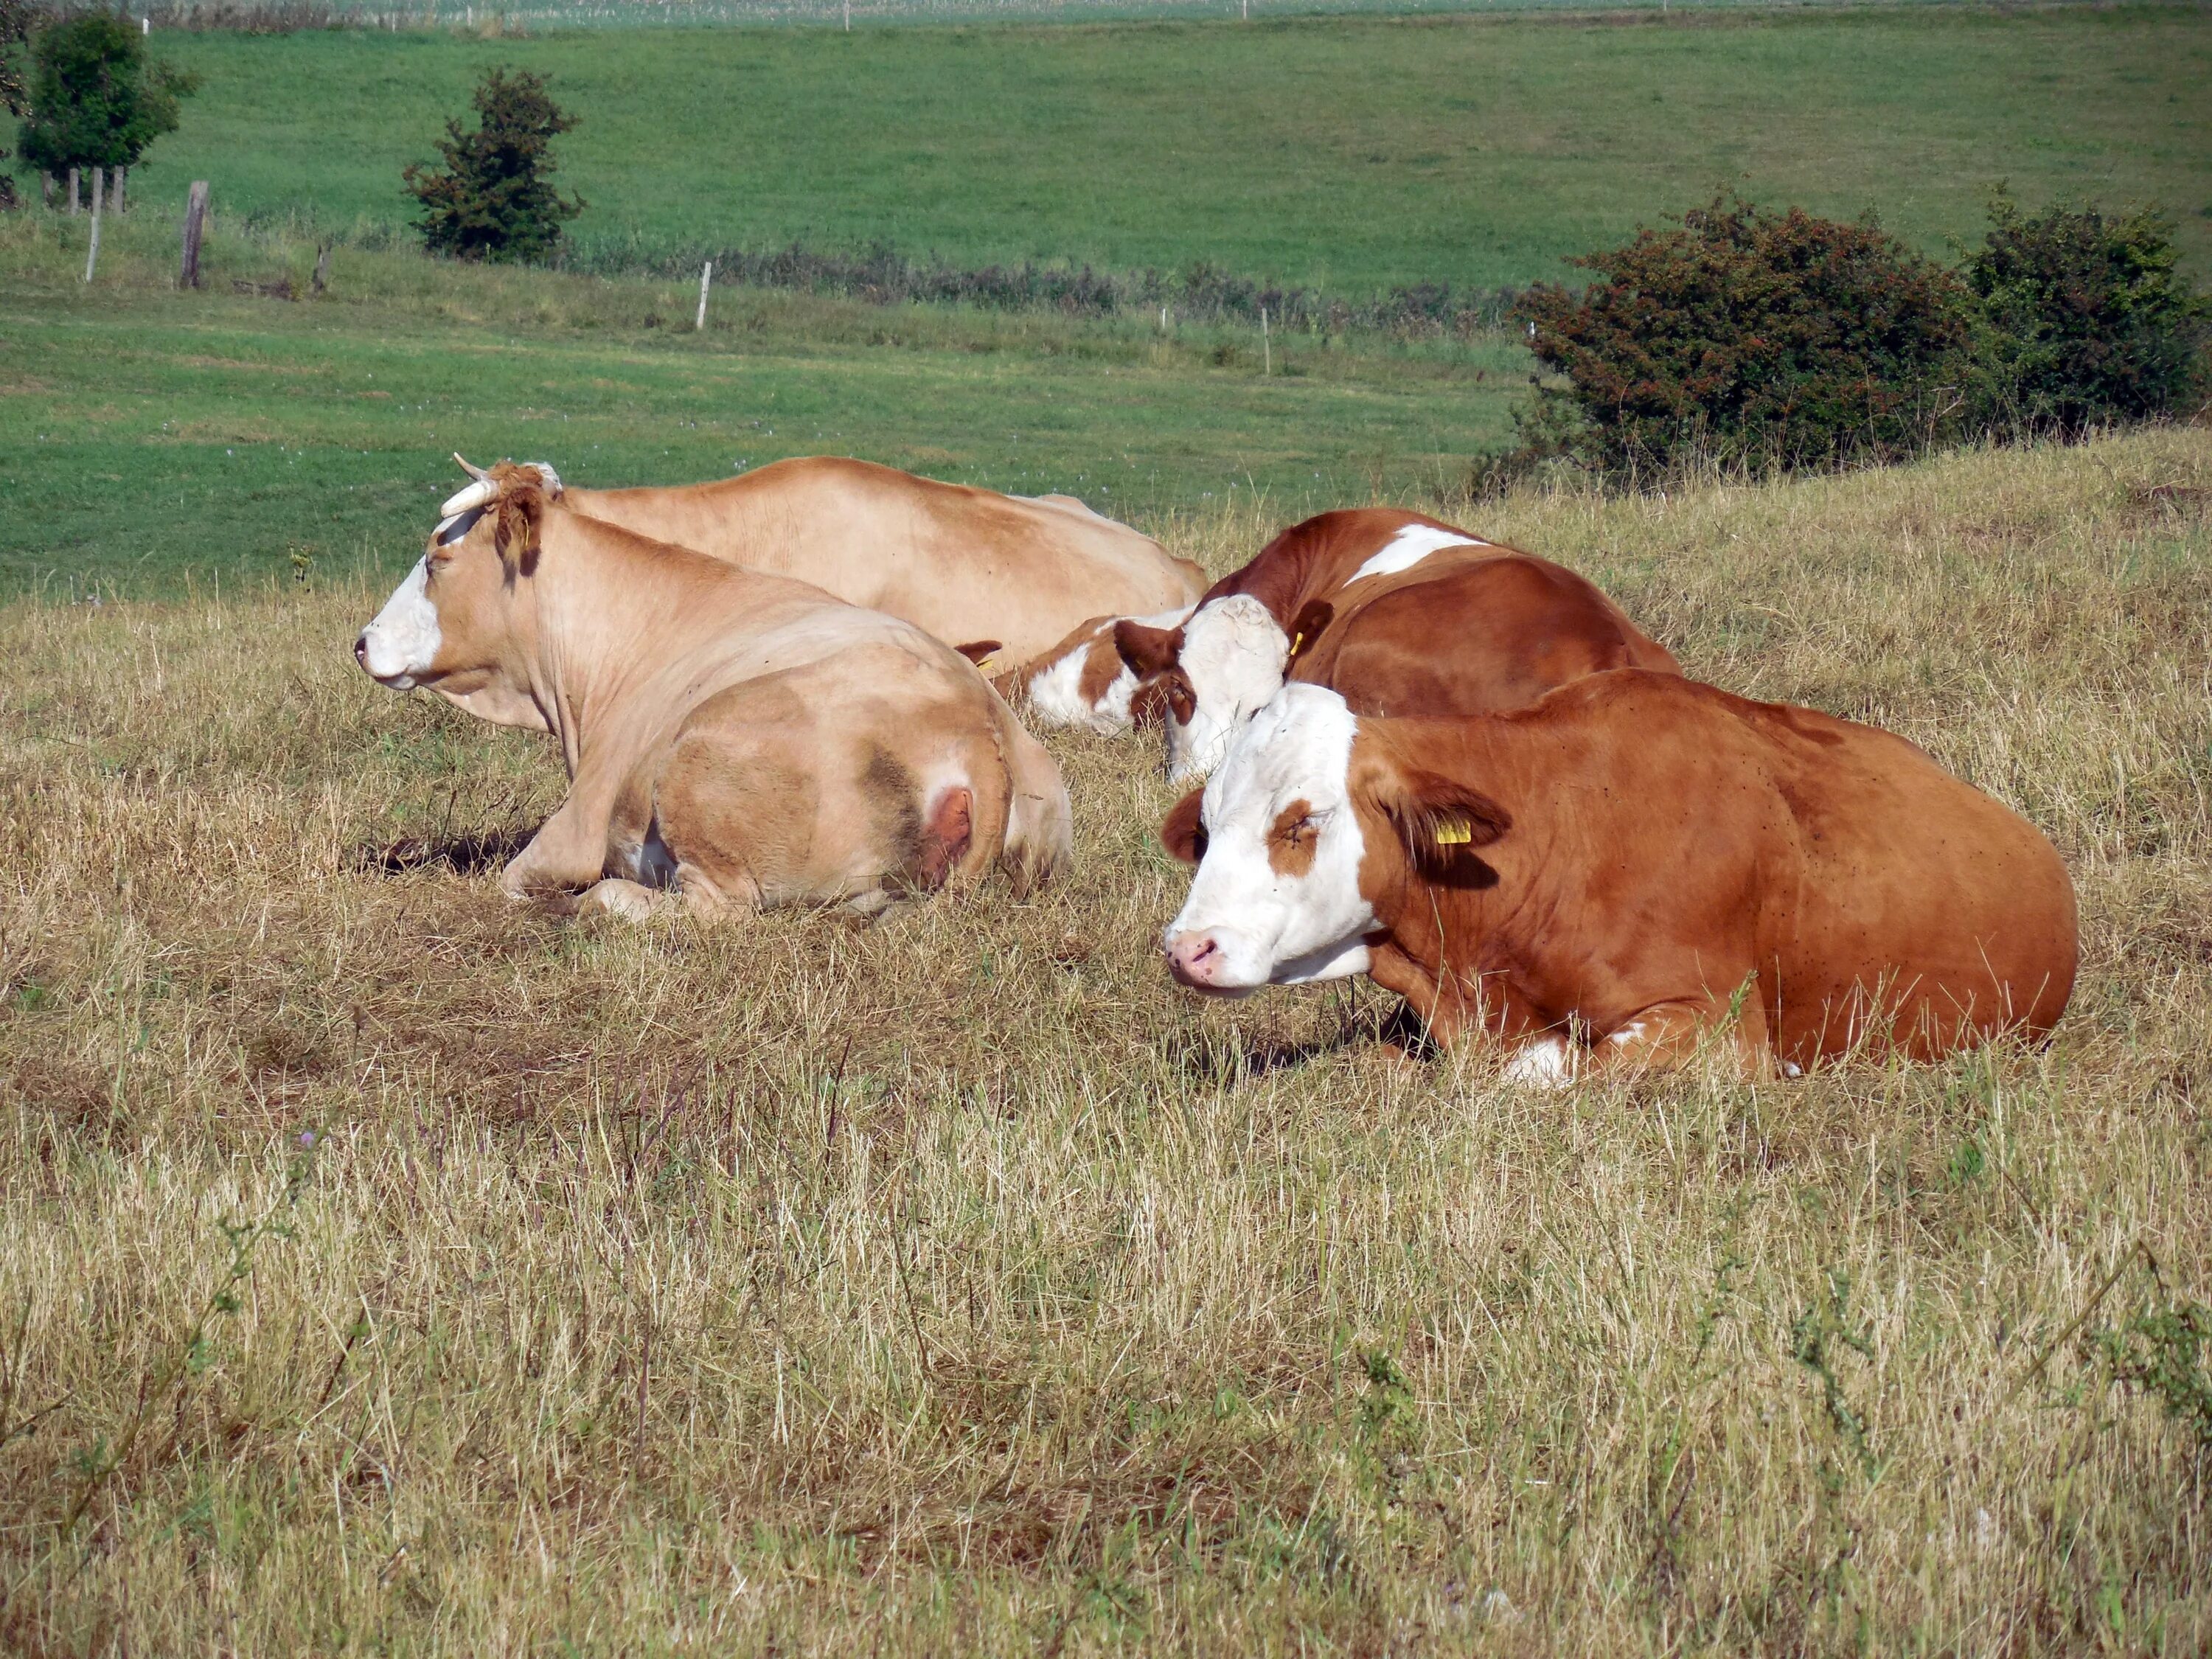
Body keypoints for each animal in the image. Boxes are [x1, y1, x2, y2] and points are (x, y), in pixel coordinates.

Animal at [358, 465, 1075, 925]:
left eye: (437, 560)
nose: (364, 642)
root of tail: (975, 724)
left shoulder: (576, 826)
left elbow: (509, 878)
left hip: (698, 765)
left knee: (710, 910)